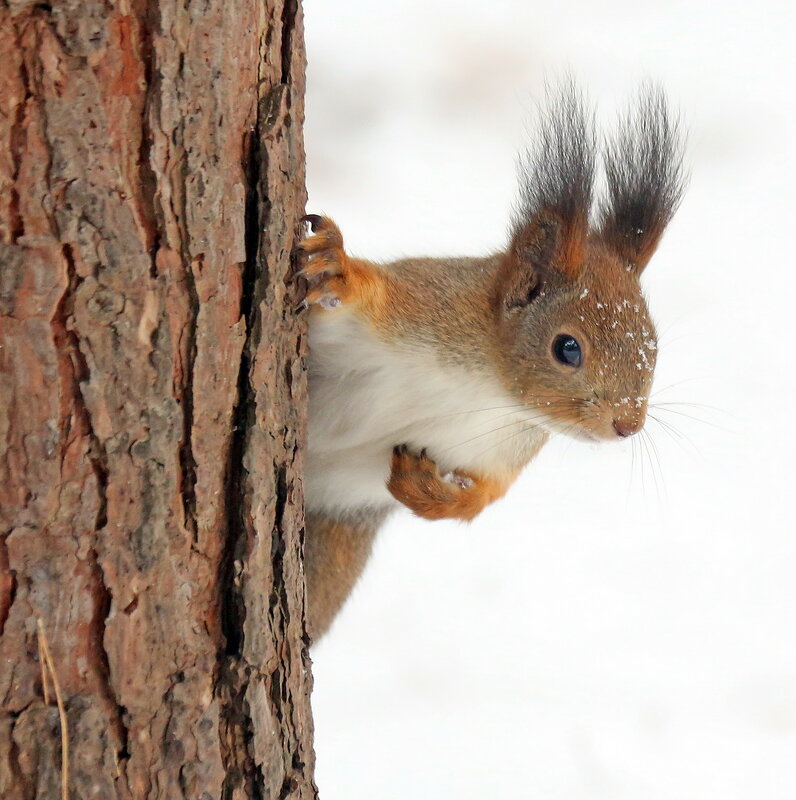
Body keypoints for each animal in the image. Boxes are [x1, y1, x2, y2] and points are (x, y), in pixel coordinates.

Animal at [296, 84, 684, 640]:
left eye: (653, 344)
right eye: (567, 348)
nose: (627, 425)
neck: (487, 388)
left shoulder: (502, 449)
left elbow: (489, 495)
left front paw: (432, 491)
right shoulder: (417, 310)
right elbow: (359, 298)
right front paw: (336, 266)